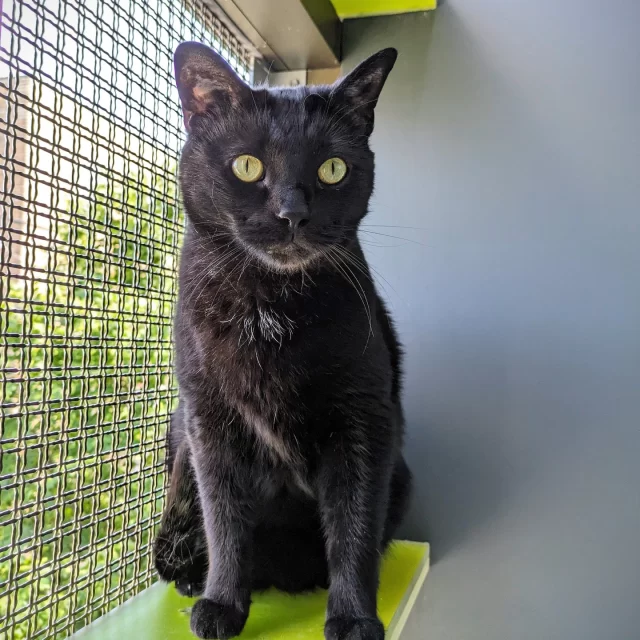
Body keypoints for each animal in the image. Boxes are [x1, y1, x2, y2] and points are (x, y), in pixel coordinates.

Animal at [156, 41, 410, 640]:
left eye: (333, 169)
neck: (268, 303)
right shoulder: (208, 421)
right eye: (247, 166)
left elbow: (354, 526)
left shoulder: (365, 420)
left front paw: (353, 616)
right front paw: (223, 603)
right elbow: (224, 520)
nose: (292, 213)